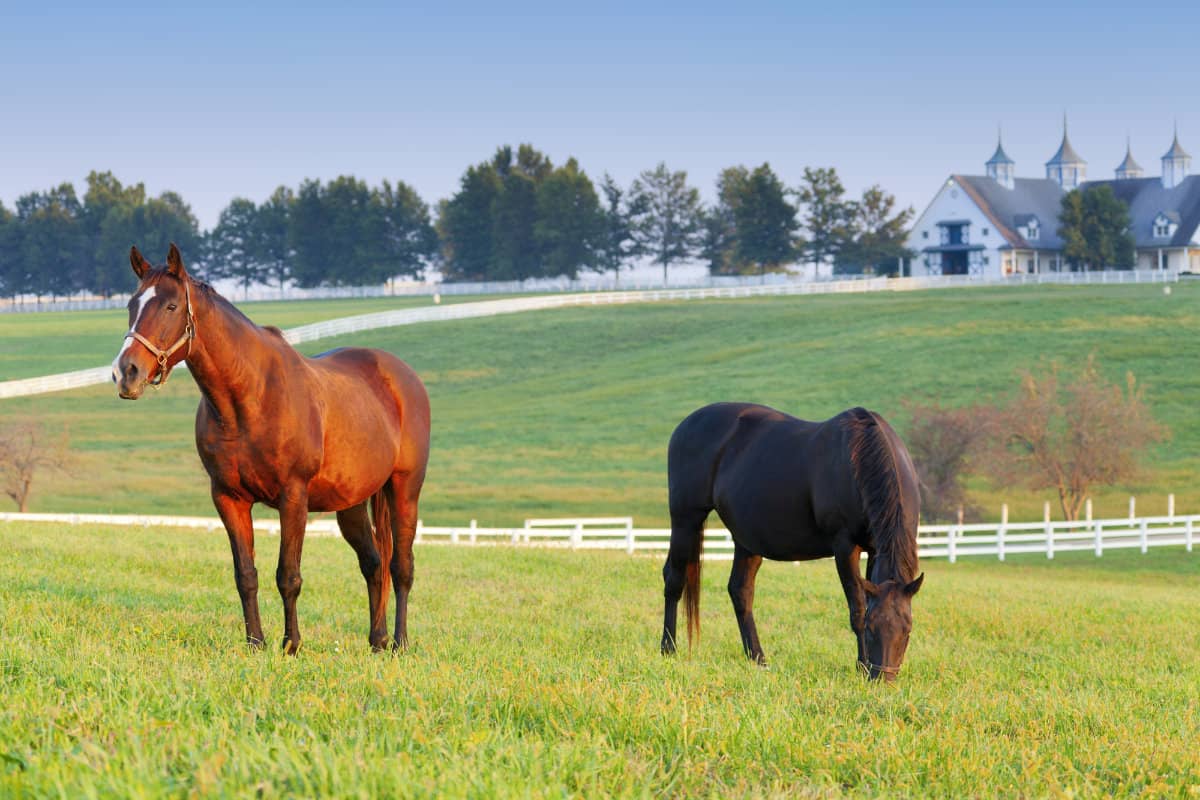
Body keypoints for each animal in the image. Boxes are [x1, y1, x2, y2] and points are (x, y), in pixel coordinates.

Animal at [111, 245, 432, 657]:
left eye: (170, 306)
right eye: (132, 305)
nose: (126, 373)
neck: (250, 398)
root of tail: (401, 376)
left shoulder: (292, 497)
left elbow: (288, 575)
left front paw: (291, 644)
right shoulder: (228, 498)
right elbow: (245, 575)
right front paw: (255, 643)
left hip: (405, 488)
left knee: (401, 567)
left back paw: (400, 644)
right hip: (352, 503)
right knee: (374, 564)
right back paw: (376, 642)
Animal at [662, 402, 921, 681]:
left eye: (907, 630)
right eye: (872, 629)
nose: (883, 677)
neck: (859, 459)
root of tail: (685, 425)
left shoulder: (874, 548)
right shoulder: (845, 547)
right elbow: (858, 608)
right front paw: (861, 665)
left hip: (746, 539)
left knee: (740, 591)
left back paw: (758, 659)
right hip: (686, 519)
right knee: (674, 579)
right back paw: (668, 649)